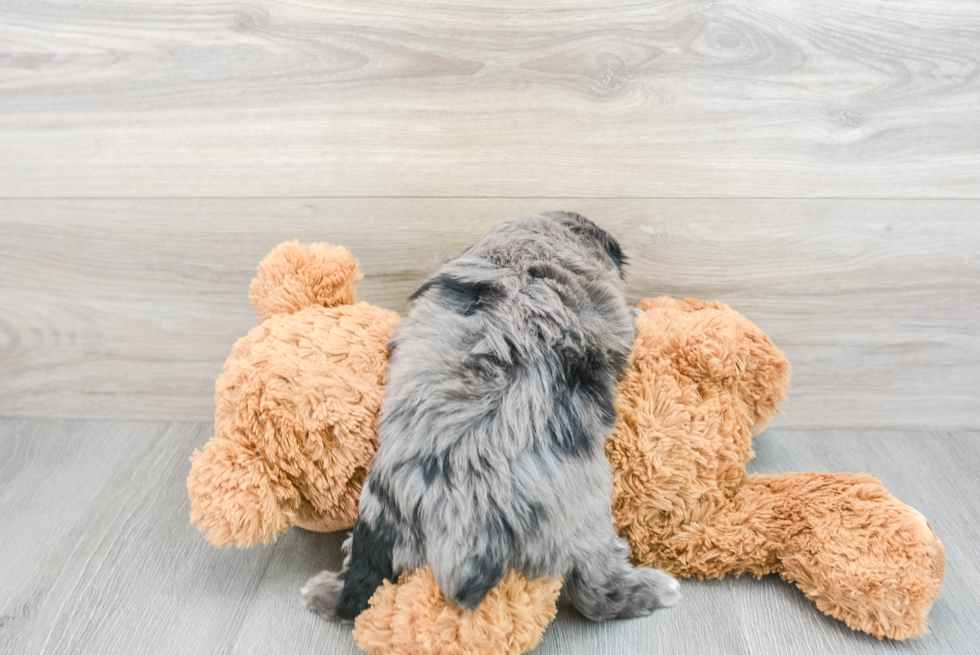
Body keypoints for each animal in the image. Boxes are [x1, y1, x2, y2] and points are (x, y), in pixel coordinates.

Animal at [304, 213, 680, 624]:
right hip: (584, 523)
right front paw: (640, 311)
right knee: (596, 592)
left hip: (379, 532)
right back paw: (655, 590)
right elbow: (628, 320)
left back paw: (324, 589)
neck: (524, 249)